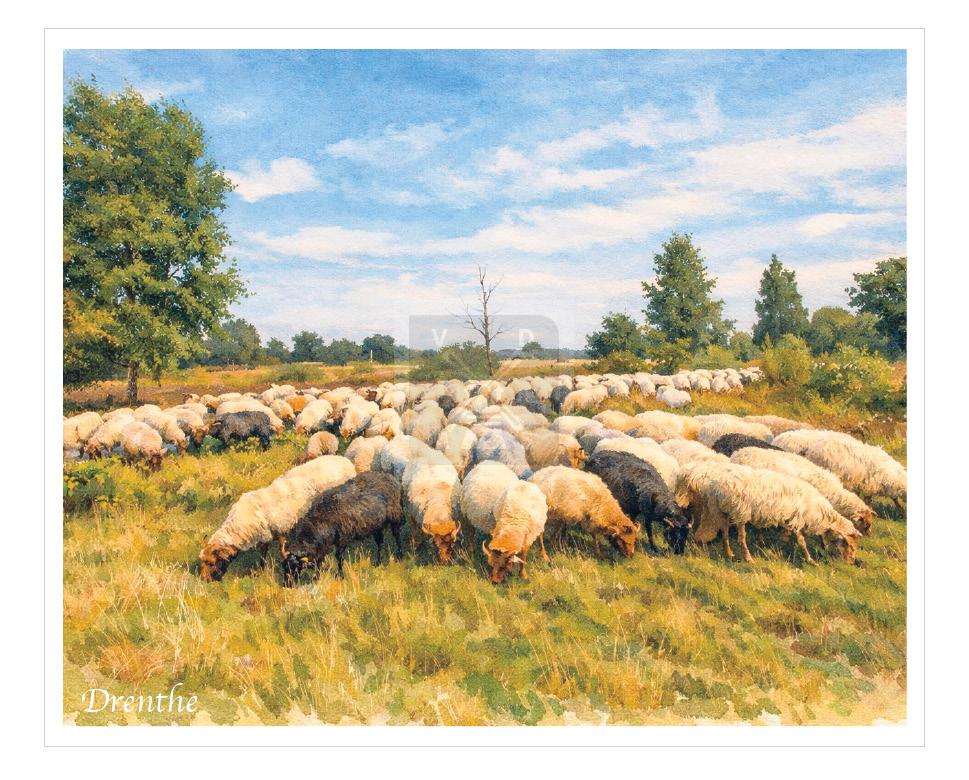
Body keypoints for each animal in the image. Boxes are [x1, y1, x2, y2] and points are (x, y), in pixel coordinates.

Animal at [199, 455, 356, 581]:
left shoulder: (282, 530)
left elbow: (282, 552)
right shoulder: (264, 536)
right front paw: (260, 571)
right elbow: (263, 555)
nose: (204, 580)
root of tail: (344, 460)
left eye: (211, 563)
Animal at [675, 460, 862, 564]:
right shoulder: (797, 521)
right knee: (741, 538)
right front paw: (810, 560)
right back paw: (748, 558)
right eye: (850, 547)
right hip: (741, 512)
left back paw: (729, 553)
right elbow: (802, 542)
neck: (821, 513)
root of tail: (715, 485)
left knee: (726, 533)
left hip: (724, 511)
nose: (851, 563)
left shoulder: (792, 522)